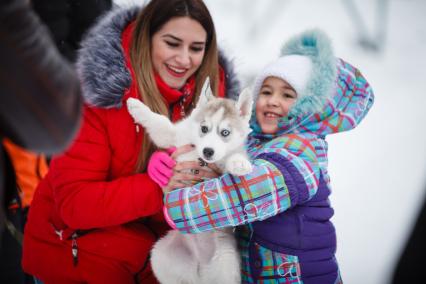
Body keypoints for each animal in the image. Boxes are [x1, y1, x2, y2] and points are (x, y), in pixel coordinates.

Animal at [125, 79, 253, 282]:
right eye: (204, 128)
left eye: (225, 132)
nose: (208, 151)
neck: (199, 155)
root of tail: (200, 267)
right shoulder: (175, 136)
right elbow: (160, 122)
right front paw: (136, 106)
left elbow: (233, 156)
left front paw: (240, 163)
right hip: (161, 254)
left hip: (226, 263)